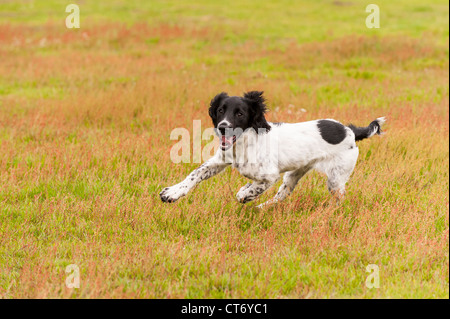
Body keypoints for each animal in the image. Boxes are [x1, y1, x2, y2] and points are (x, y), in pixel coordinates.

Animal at [158, 91, 384, 209]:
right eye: (221, 110)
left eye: (240, 113)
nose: (222, 126)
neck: (245, 142)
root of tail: (350, 131)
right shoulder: (221, 160)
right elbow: (195, 173)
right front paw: (172, 193)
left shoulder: (270, 175)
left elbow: (252, 189)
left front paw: (244, 193)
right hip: (294, 174)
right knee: (282, 194)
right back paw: (262, 208)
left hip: (336, 179)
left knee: (339, 198)